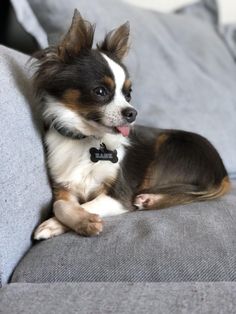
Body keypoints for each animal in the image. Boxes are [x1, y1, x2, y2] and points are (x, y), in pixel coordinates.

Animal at [33, 9, 230, 240]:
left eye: (128, 94)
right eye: (100, 91)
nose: (132, 113)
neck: (88, 139)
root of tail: (223, 171)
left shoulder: (120, 196)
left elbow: (87, 205)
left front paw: (73, 221)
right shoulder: (63, 188)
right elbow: (60, 205)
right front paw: (65, 223)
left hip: (169, 147)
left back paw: (150, 199)